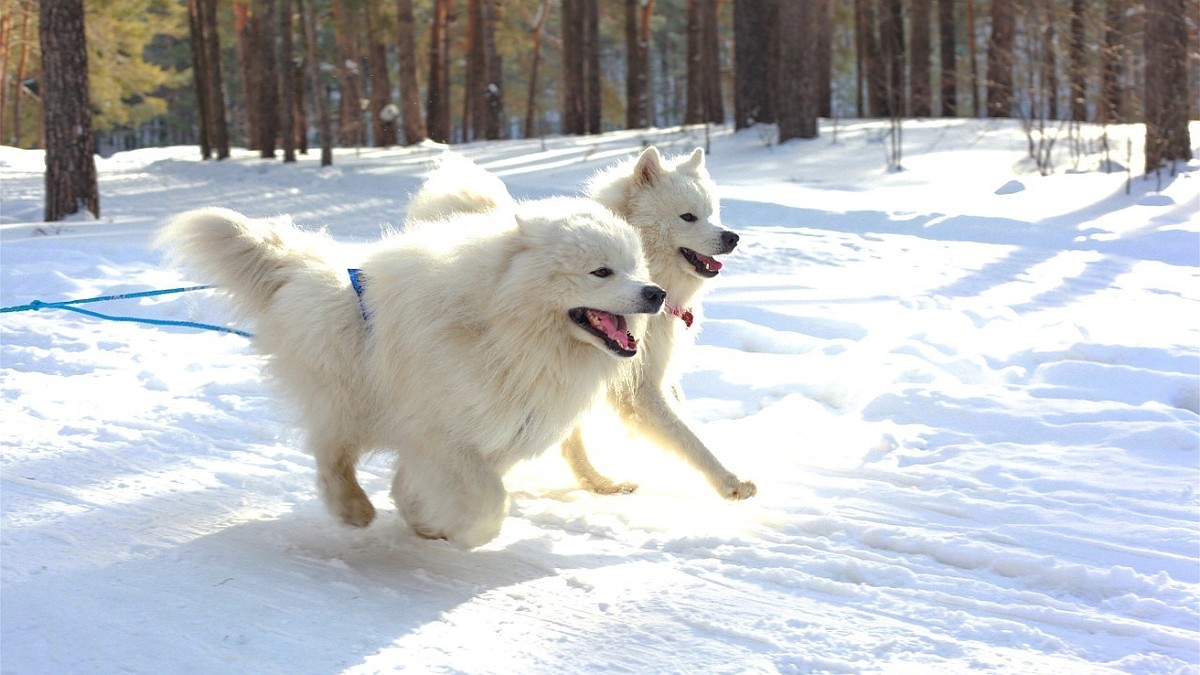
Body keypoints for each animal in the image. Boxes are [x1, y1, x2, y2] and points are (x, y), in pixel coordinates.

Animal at [157, 199, 667, 547]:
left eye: (634, 267)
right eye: (601, 272)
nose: (656, 293)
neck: (499, 325)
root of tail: (298, 268)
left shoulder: (495, 433)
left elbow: (419, 484)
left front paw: (422, 520)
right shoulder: (442, 433)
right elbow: (488, 503)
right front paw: (462, 534)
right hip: (346, 396)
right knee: (330, 455)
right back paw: (353, 509)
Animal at [408, 148, 753, 499]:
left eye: (712, 213)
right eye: (688, 217)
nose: (732, 237)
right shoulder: (637, 389)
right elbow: (686, 437)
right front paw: (731, 482)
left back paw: (601, 483)